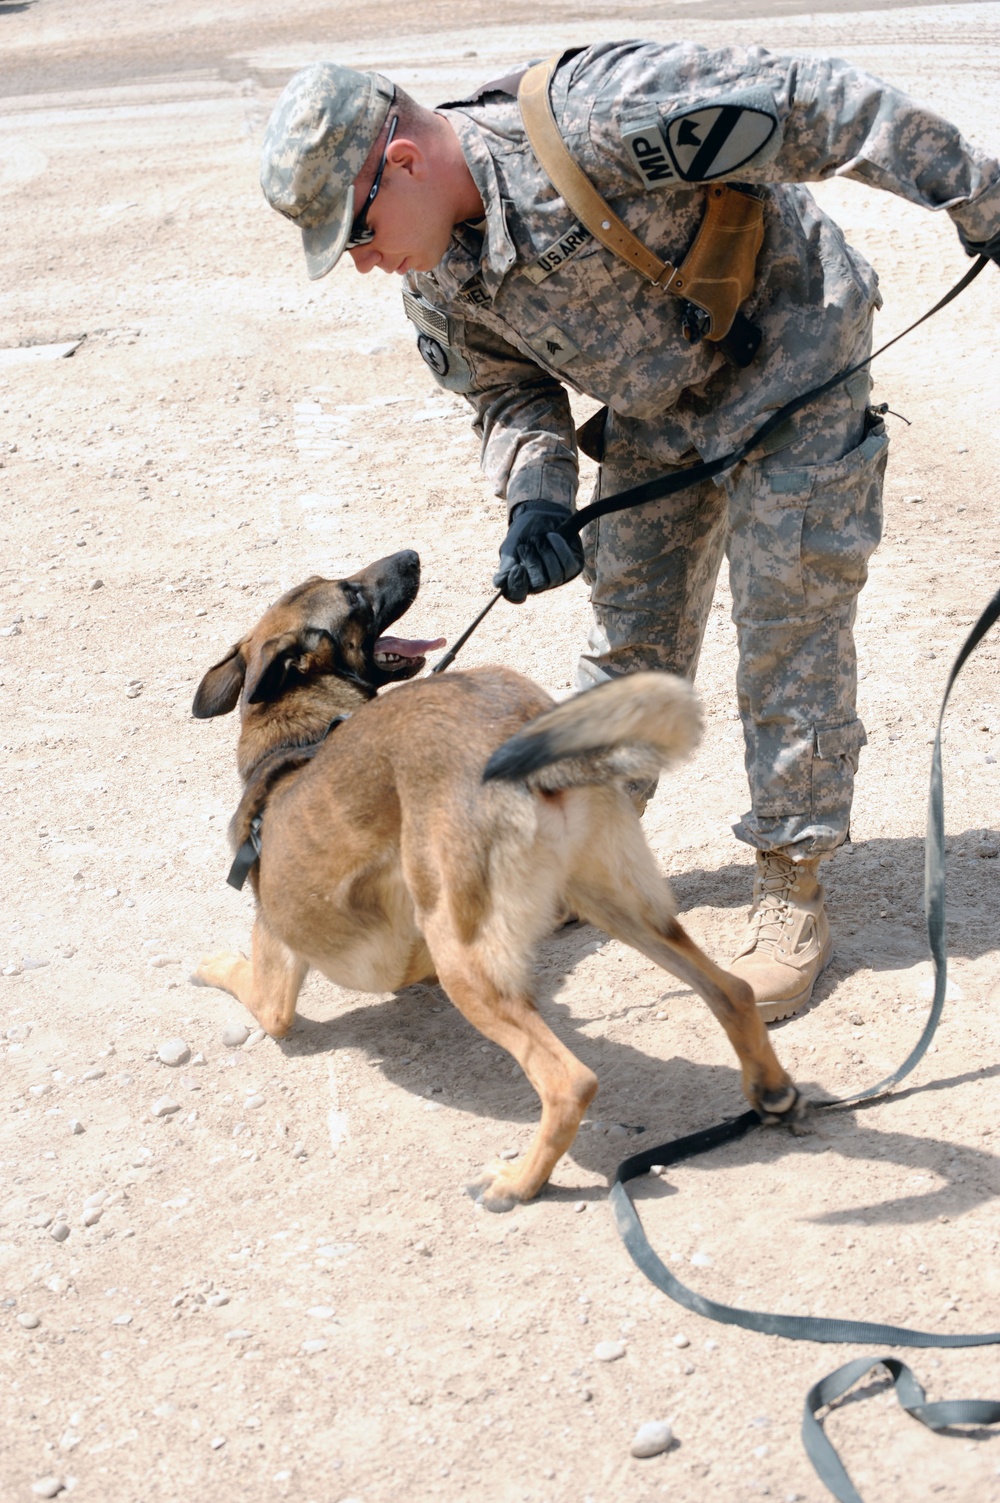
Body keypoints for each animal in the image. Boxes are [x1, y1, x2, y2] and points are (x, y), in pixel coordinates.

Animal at [190, 553, 793, 1208]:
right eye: (351, 592)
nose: (410, 557)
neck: (302, 732)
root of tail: (522, 733)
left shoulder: (277, 979)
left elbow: (250, 988)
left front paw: (210, 964)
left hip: (465, 957)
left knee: (570, 1081)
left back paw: (517, 1181)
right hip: (616, 904)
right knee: (731, 990)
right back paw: (772, 1091)